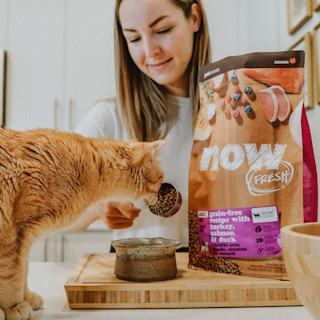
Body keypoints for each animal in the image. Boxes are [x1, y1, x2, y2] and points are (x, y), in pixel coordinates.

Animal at [0, 127, 168, 320]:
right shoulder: (14, 234)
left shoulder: (24, 237)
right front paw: (13, 306)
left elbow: (24, 269)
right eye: (161, 178)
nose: (158, 196)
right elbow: (12, 274)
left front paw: (26, 297)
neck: (92, 166)